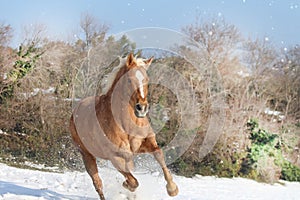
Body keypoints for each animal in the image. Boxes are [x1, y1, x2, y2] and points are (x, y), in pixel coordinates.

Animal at [69, 53, 178, 200]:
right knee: (98, 184)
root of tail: (76, 109)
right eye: (129, 80)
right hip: (87, 155)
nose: (142, 108)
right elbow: (133, 182)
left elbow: (159, 154)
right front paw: (126, 186)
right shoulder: (116, 157)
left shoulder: (144, 144)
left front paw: (172, 189)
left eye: (147, 80)